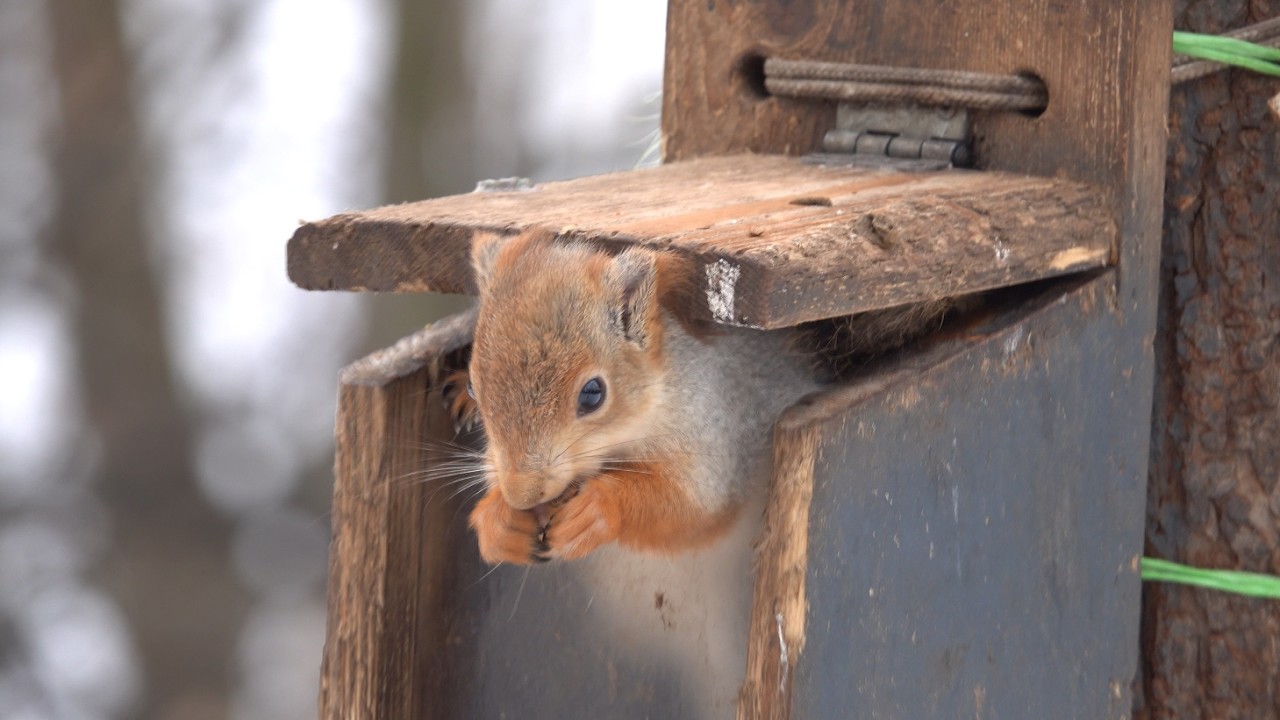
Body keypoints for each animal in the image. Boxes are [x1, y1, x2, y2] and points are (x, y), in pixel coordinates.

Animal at [451, 227, 958, 565]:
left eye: (592, 394)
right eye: (475, 385)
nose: (522, 493)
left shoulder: (717, 426)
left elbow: (694, 505)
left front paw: (596, 509)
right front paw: (499, 521)